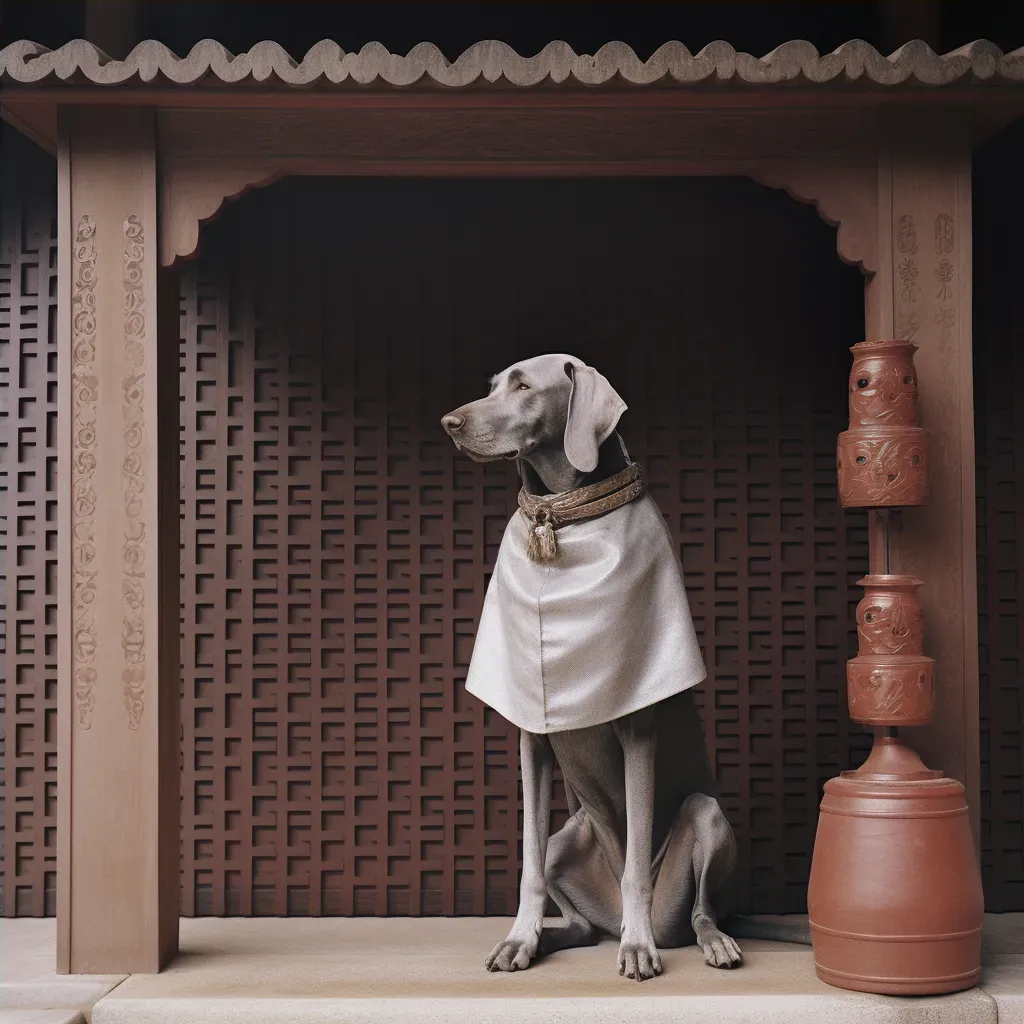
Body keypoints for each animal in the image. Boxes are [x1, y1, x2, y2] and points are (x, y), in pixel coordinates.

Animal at [440, 356, 745, 978]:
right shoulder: (532, 740)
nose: (449, 422)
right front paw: (519, 937)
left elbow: (635, 866)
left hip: (706, 816)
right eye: (491, 386)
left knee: (700, 909)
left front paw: (638, 948)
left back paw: (696, 940)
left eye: (524, 386)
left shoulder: (638, 732)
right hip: (568, 837)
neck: (562, 519)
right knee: (580, 922)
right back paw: (549, 939)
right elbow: (528, 864)